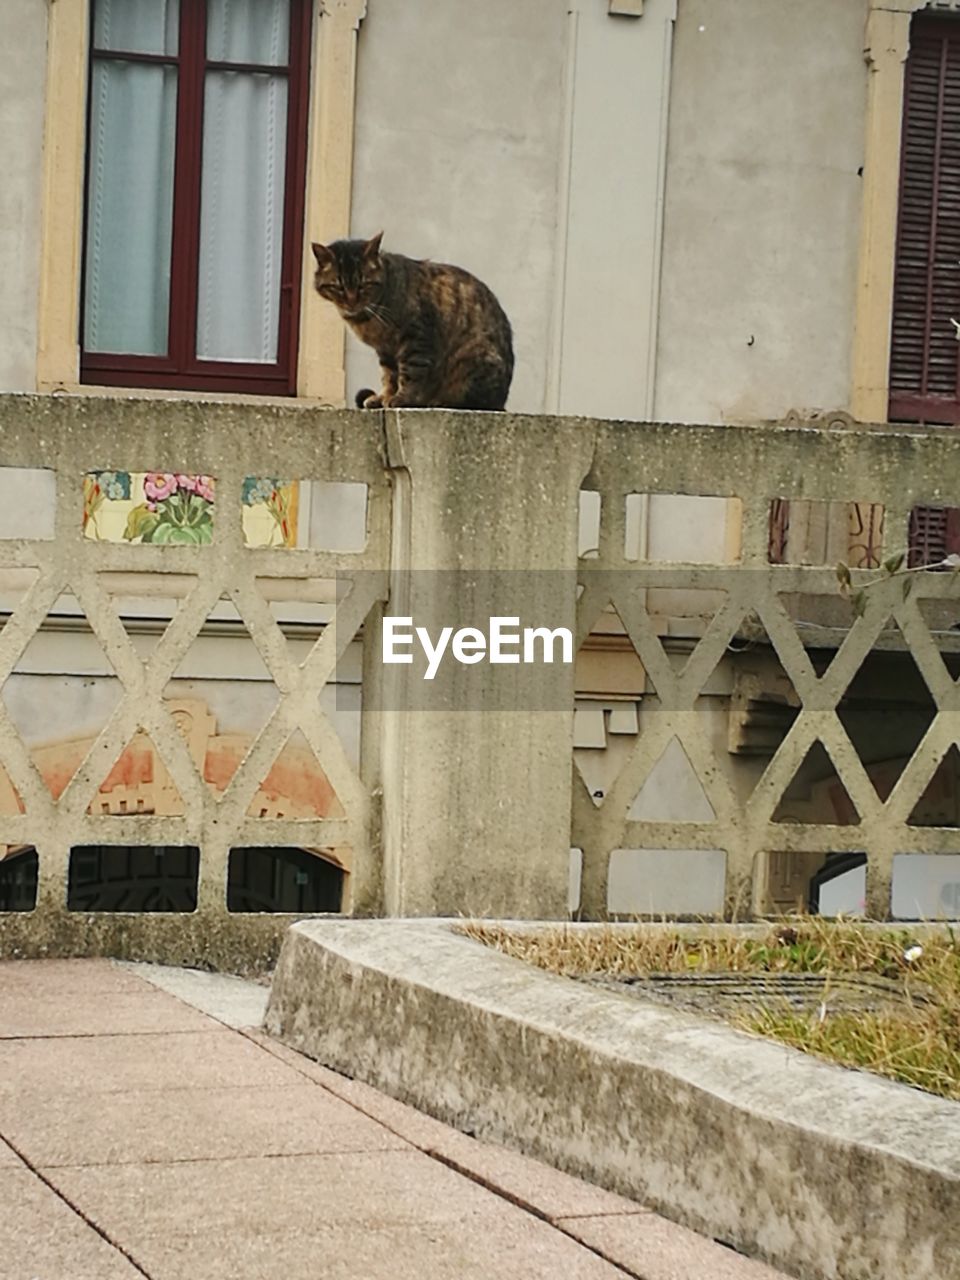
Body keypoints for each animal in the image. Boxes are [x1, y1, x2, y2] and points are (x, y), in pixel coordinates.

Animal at [312, 231, 514, 409]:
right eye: (338, 287)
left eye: (364, 284)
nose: (352, 302)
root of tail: (502, 401)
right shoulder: (385, 350)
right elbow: (389, 376)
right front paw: (384, 397)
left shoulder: (416, 338)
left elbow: (410, 373)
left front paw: (402, 398)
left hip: (473, 359)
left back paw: (441, 401)